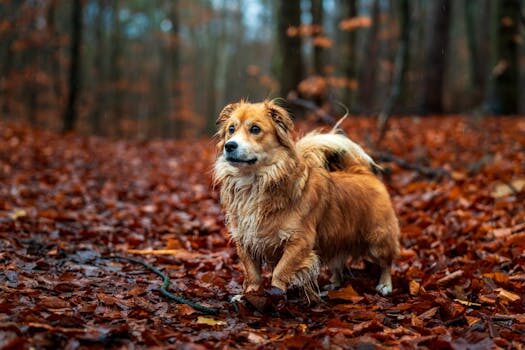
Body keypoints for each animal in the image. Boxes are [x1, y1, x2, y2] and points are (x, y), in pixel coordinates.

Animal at [213, 99, 398, 300]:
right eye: (231, 129)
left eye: (255, 129)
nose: (229, 145)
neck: (255, 183)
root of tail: (360, 172)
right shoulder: (245, 240)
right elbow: (252, 273)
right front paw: (249, 296)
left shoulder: (300, 242)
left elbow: (280, 271)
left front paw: (275, 295)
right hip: (336, 238)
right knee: (338, 263)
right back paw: (333, 285)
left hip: (378, 239)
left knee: (386, 262)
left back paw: (385, 285)